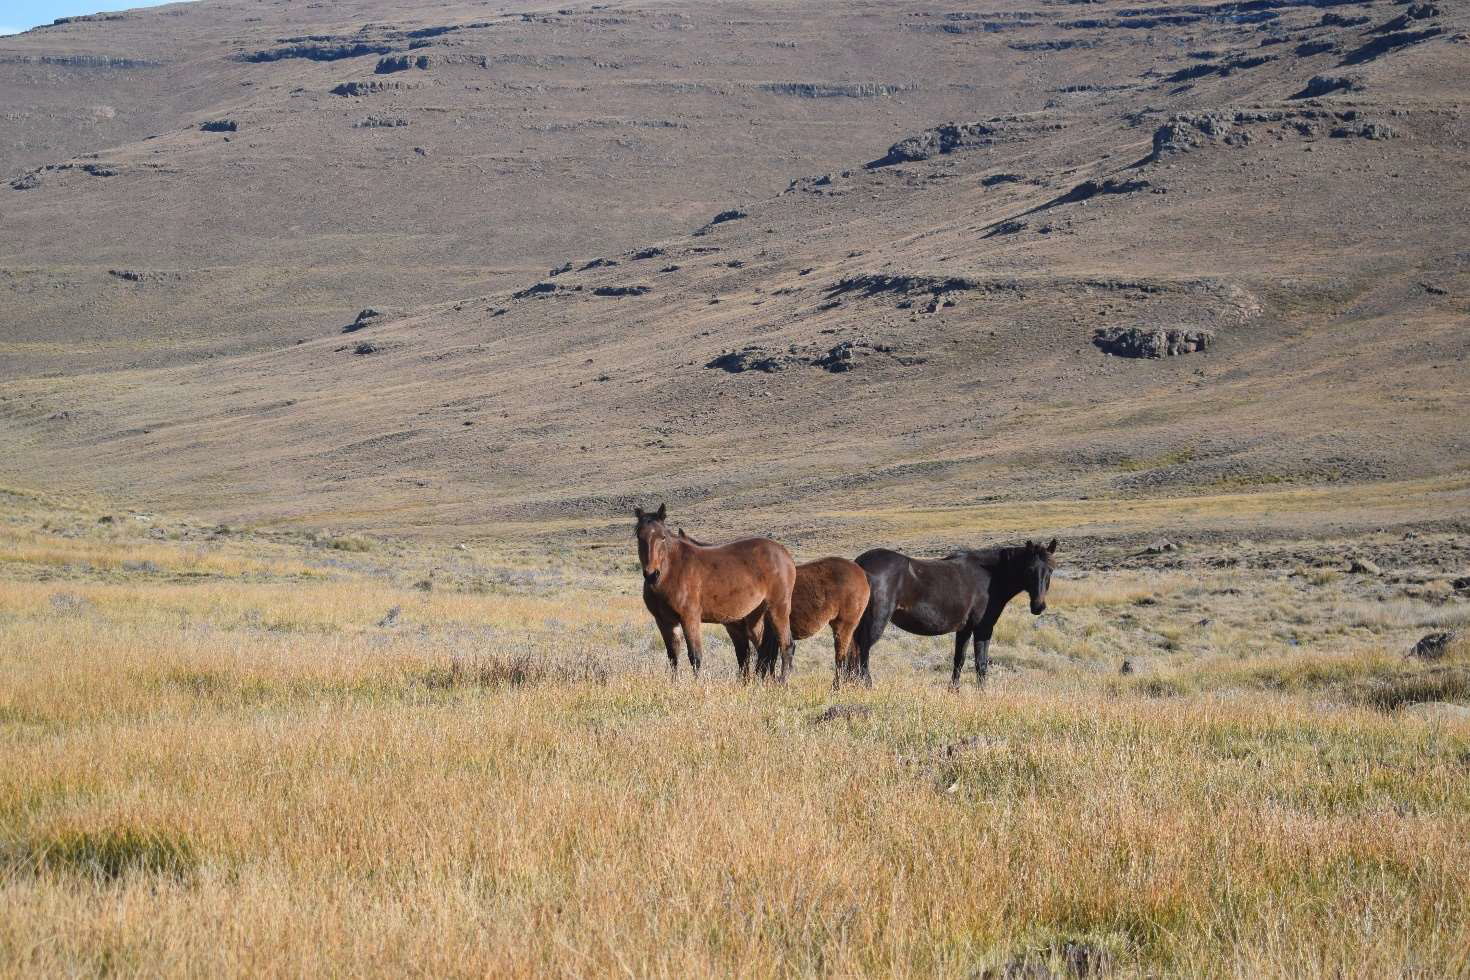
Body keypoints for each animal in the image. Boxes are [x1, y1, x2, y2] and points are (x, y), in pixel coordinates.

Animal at [635, 505, 796, 679]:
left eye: (662, 537)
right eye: (639, 537)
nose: (652, 574)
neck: (672, 570)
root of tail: (784, 553)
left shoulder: (690, 618)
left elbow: (695, 656)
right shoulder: (664, 622)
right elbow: (673, 657)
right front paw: (674, 682)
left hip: (778, 608)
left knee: (786, 646)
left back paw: (781, 681)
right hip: (755, 616)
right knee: (764, 650)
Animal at [853, 539, 1057, 688]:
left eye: (1050, 570)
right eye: (1029, 570)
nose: (1038, 607)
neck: (990, 577)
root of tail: (860, 564)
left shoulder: (964, 629)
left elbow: (959, 660)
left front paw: (954, 690)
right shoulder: (983, 629)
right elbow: (981, 663)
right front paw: (982, 693)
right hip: (876, 621)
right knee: (863, 651)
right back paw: (867, 685)